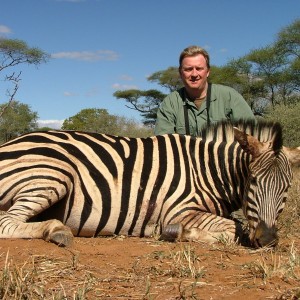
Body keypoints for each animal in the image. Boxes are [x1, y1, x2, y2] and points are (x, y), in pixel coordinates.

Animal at [0, 120, 298, 248]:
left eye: (287, 188)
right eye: (253, 182)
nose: (268, 240)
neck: (207, 170)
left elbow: (236, 225)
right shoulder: (179, 210)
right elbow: (234, 229)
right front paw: (177, 233)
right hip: (52, 174)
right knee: (6, 222)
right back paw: (57, 230)